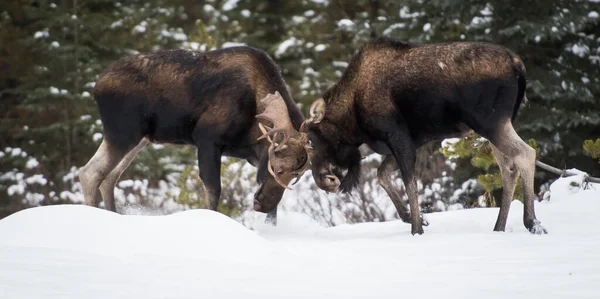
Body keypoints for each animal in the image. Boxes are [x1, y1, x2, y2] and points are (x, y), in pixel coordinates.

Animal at [78, 45, 310, 223]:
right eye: (277, 168)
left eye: (295, 177)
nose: (262, 204)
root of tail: (97, 85)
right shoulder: (207, 139)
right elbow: (213, 191)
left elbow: (274, 214)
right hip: (123, 132)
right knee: (90, 173)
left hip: (139, 139)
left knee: (109, 177)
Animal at [268, 38, 548, 237]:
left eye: (310, 142)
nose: (325, 181)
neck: (353, 120)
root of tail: (518, 64)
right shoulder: (413, 140)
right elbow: (383, 174)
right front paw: (415, 218)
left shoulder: (398, 135)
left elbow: (409, 182)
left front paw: (416, 228)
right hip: (496, 125)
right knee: (508, 167)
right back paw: (499, 226)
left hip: (490, 122)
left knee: (526, 154)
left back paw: (532, 222)